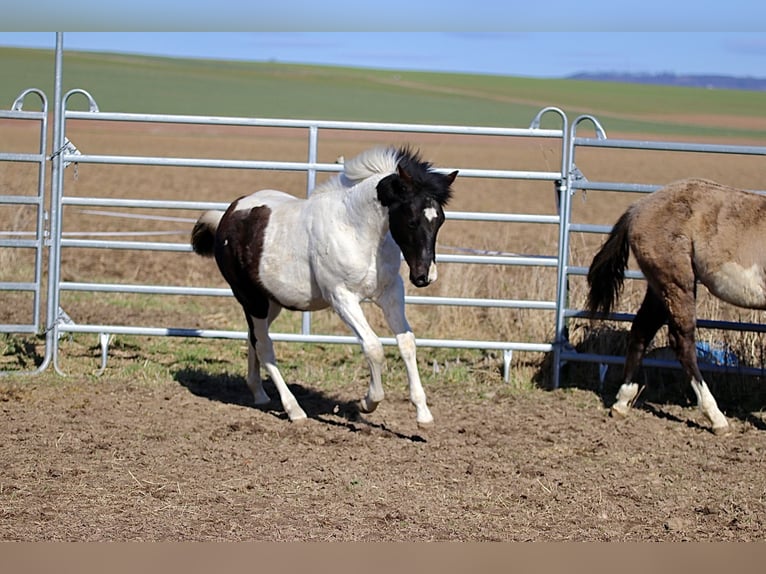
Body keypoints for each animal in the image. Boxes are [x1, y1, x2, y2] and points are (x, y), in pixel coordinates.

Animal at [191, 145, 457, 427]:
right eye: (411, 220)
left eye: (439, 220)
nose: (424, 277)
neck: (355, 230)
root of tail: (227, 216)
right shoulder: (341, 297)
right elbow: (373, 347)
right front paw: (367, 403)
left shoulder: (390, 292)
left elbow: (407, 342)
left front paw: (423, 413)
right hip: (252, 300)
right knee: (264, 347)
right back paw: (294, 410)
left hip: (271, 303)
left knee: (253, 338)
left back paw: (259, 394)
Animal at [586, 178, 766, 435]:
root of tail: (638, 208)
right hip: (677, 284)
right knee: (681, 341)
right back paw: (716, 419)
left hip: (659, 288)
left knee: (641, 331)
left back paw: (621, 403)